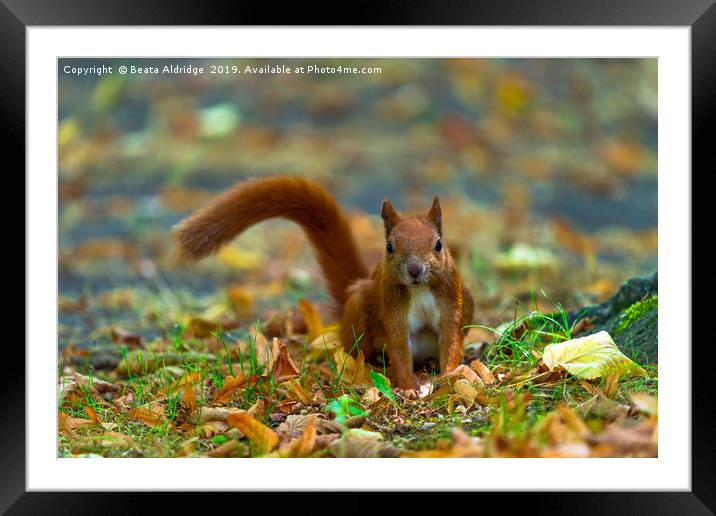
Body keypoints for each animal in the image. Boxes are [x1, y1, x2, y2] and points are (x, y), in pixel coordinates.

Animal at [173, 175, 472, 390]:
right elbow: (399, 346)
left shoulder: (452, 299)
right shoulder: (392, 305)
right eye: (389, 247)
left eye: (438, 245)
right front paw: (409, 388)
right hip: (359, 310)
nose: (414, 270)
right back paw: (375, 368)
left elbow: (451, 339)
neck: (419, 290)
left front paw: (449, 378)